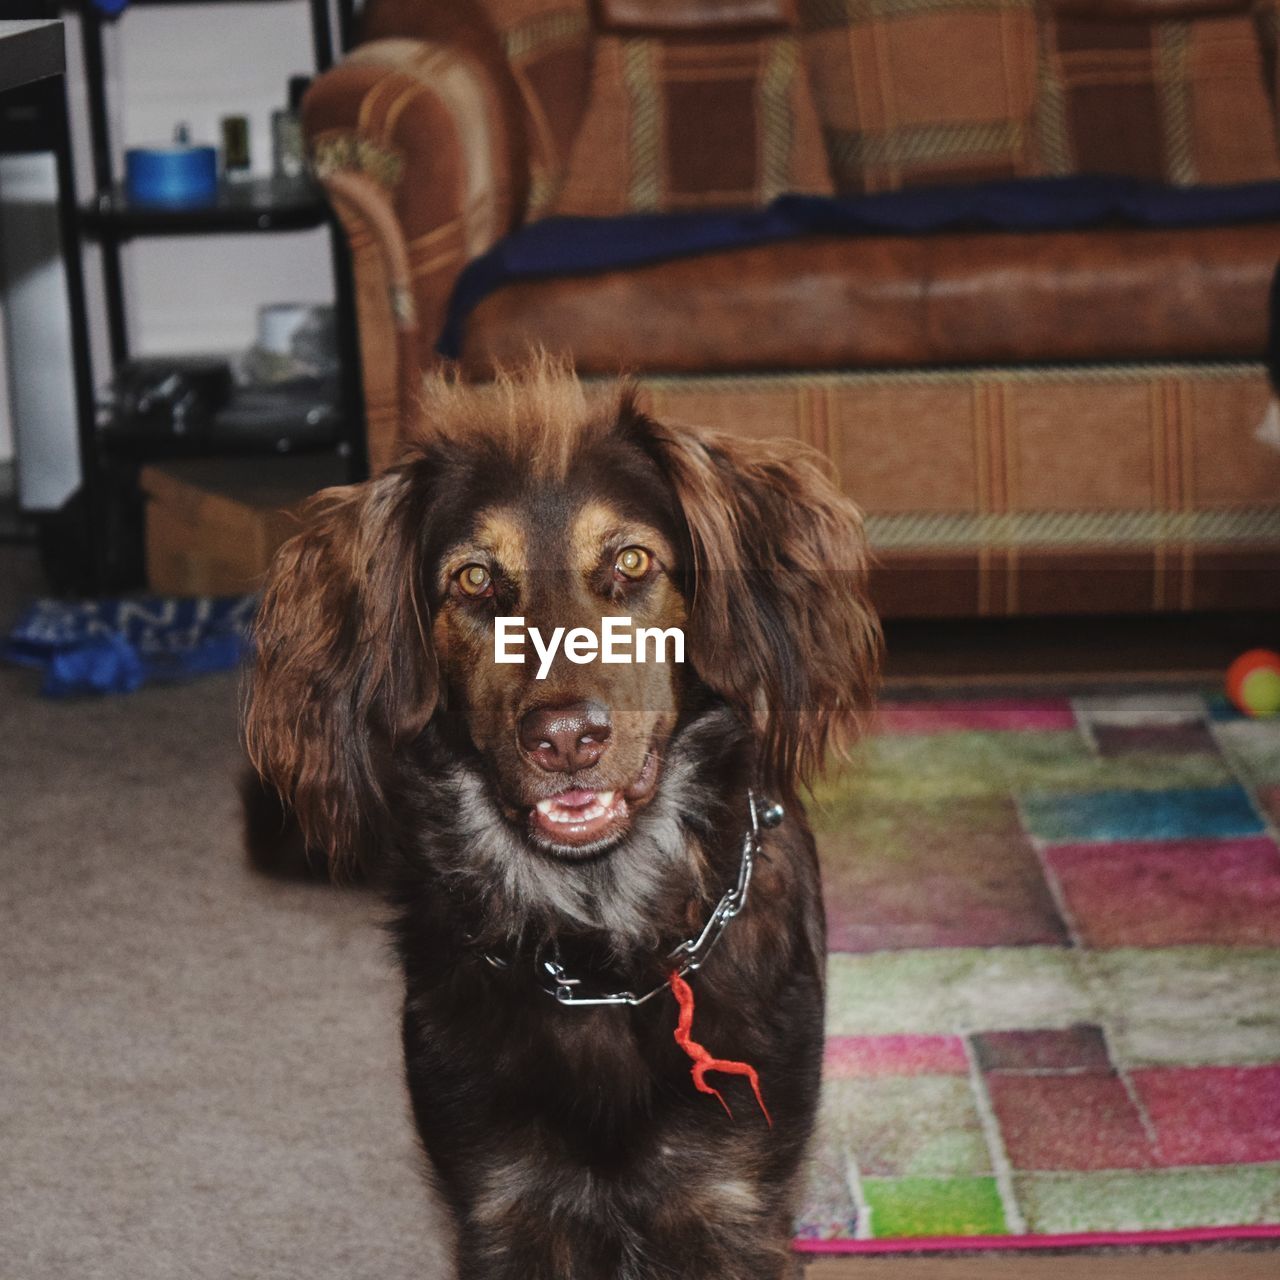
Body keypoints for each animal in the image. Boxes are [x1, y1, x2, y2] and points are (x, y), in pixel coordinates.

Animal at [240, 360, 880, 1280]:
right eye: (474, 579)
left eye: (632, 560)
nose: (566, 739)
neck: (601, 954)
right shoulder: (506, 1209)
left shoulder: (732, 1207)